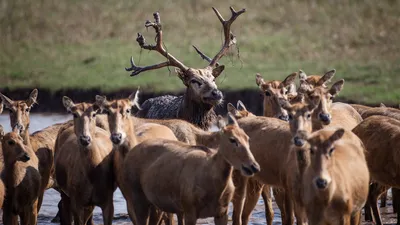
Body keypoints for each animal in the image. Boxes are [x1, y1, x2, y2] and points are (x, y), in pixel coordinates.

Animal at [54, 97, 115, 225]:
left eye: (94, 114)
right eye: (74, 114)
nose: (85, 139)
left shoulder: (108, 199)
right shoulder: (76, 200)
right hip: (64, 190)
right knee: (65, 211)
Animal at [122, 113, 260, 225]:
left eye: (247, 138)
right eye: (232, 139)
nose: (253, 166)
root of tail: (130, 154)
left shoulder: (222, 213)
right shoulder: (190, 211)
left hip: (155, 204)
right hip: (138, 198)